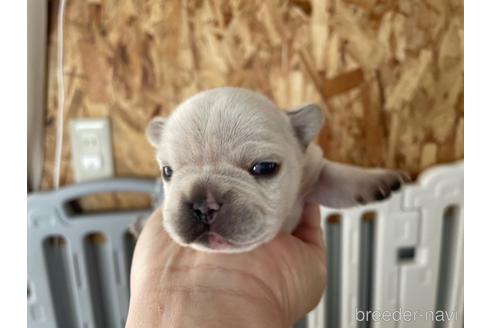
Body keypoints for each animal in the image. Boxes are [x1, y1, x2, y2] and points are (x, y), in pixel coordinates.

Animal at [146, 87, 412, 254]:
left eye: (264, 168)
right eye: (167, 172)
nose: (203, 204)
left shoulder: (314, 172)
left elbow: (340, 177)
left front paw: (379, 178)